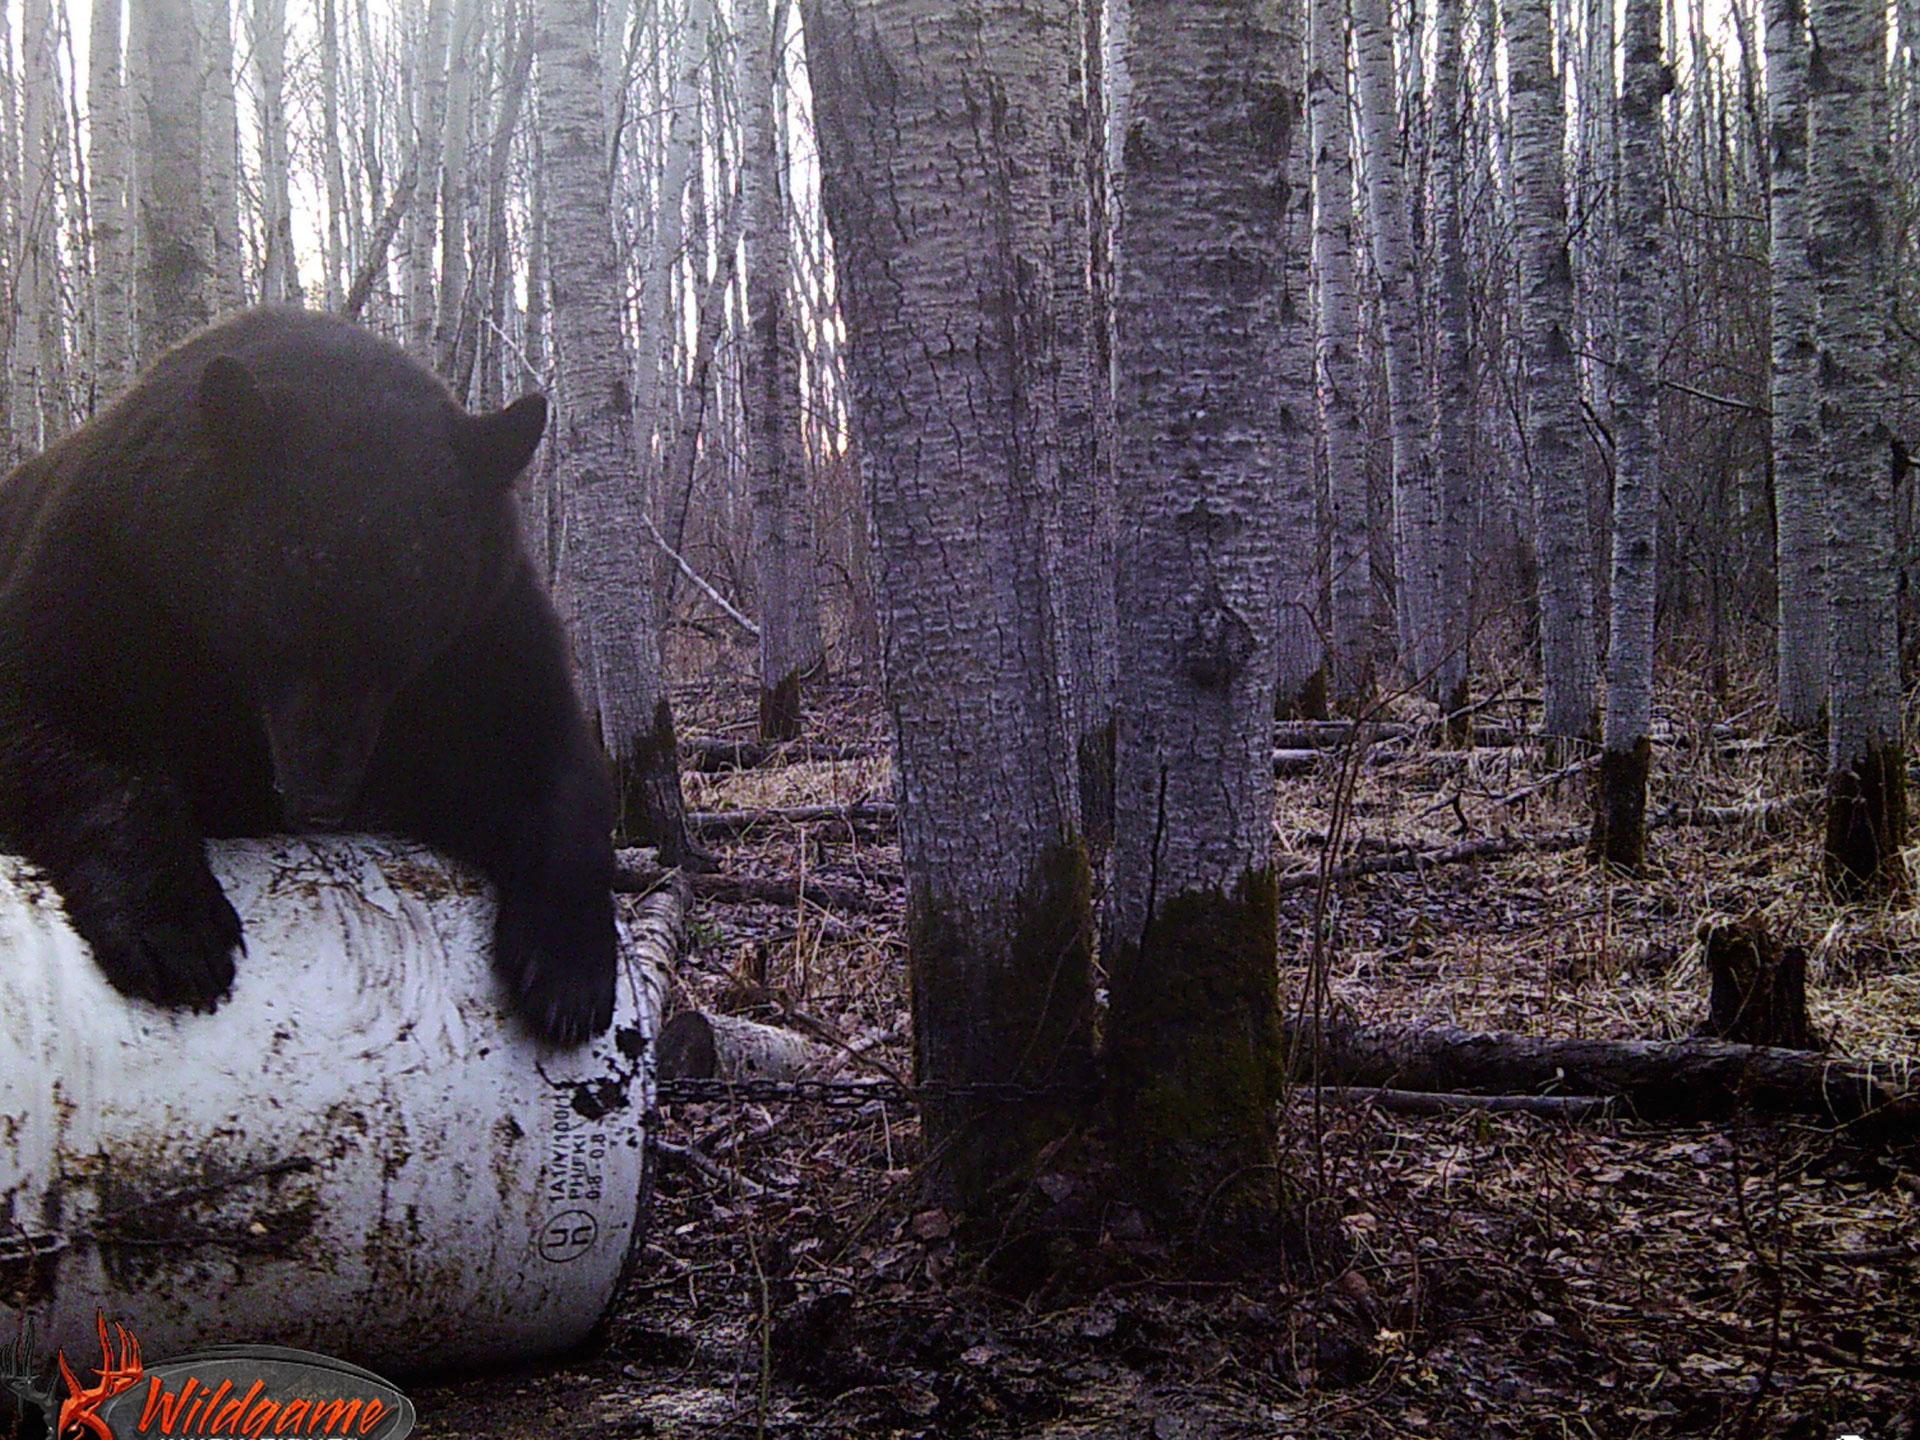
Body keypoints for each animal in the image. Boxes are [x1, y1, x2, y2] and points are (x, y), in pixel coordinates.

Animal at [0, 307, 616, 1044]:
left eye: (400, 650)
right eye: (284, 631)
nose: (323, 798)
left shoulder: (480, 626)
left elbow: (540, 755)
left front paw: (568, 973)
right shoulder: (114, 566)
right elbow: (60, 726)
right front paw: (175, 931)